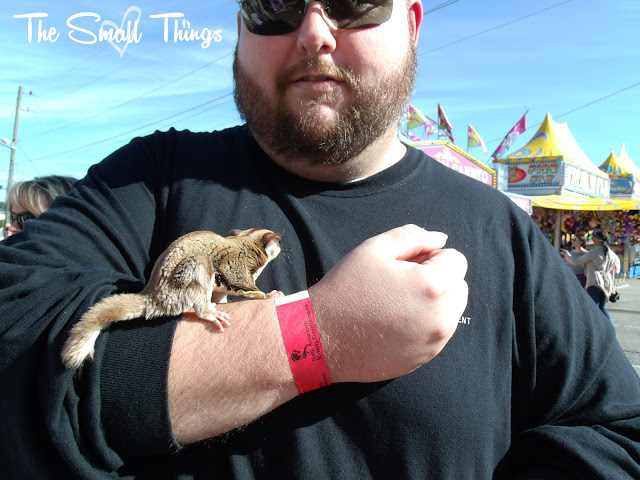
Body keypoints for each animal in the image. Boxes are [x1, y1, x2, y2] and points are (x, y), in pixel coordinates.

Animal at [61, 228, 283, 369]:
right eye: (278, 242)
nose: (281, 245)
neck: (247, 239)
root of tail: (153, 295)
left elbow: (222, 293)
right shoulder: (236, 263)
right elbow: (243, 284)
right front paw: (268, 294)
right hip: (182, 284)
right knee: (202, 266)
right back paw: (207, 312)